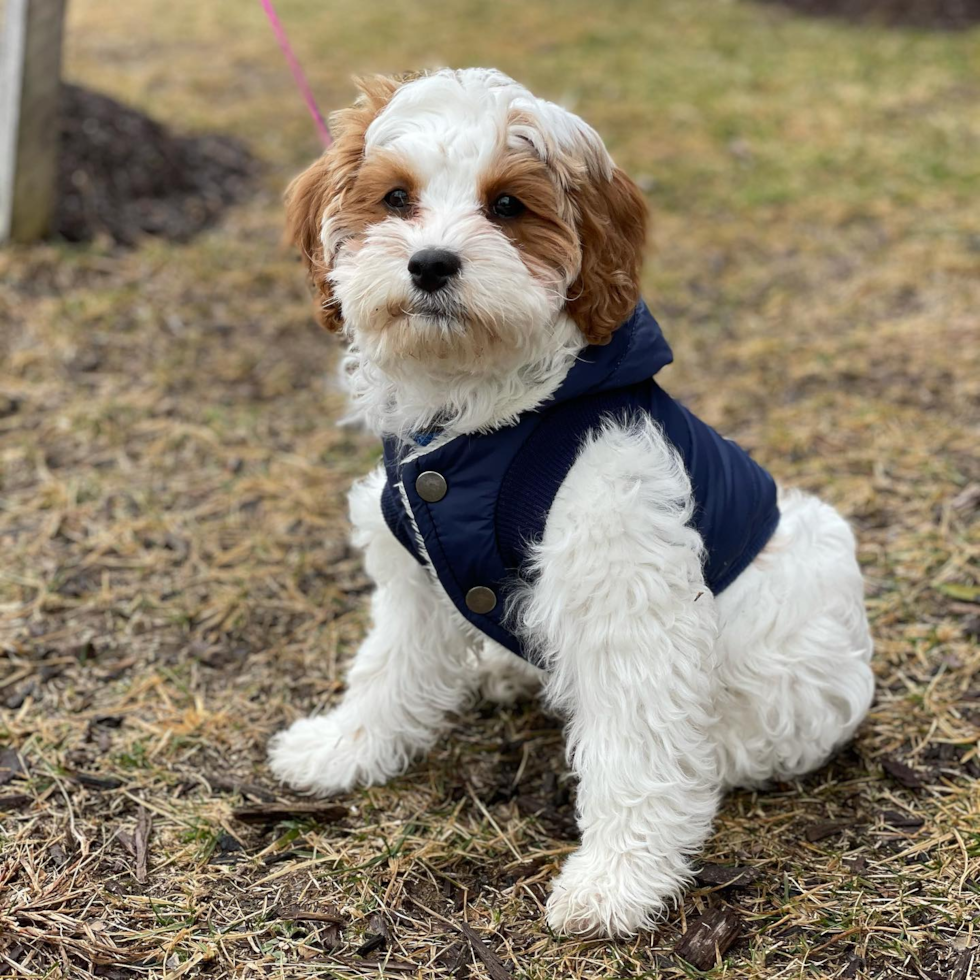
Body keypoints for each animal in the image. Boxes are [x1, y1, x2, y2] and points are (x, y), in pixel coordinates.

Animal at [268, 65, 872, 936]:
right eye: (395, 198)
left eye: (507, 206)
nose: (430, 265)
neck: (484, 420)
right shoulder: (417, 568)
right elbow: (390, 664)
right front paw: (346, 748)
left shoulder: (625, 594)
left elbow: (636, 746)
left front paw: (617, 881)